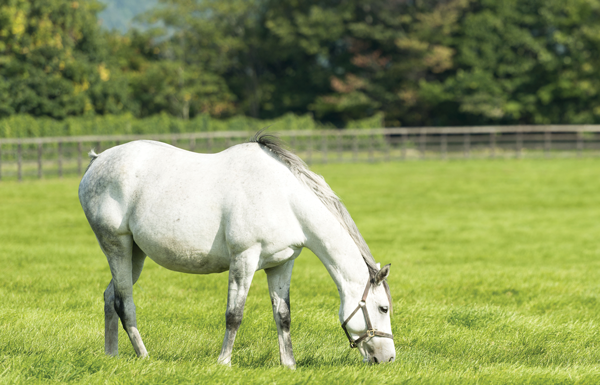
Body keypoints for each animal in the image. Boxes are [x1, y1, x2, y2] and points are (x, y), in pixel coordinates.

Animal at [79, 132, 396, 366]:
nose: (389, 358)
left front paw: (289, 365)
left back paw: (111, 356)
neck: (284, 198)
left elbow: (283, 316)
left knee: (110, 296)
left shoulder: (281, 265)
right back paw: (144, 357)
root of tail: (97, 161)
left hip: (136, 254)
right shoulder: (244, 259)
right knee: (124, 303)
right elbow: (234, 315)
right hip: (117, 246)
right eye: (383, 307)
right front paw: (224, 362)